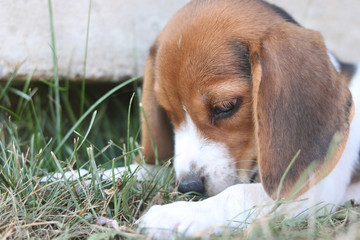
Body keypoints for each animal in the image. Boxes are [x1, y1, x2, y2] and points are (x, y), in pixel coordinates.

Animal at [135, 0, 360, 237]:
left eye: (225, 106)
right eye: (167, 112)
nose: (189, 187)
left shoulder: (310, 190)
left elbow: (238, 193)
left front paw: (177, 214)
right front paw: (131, 172)